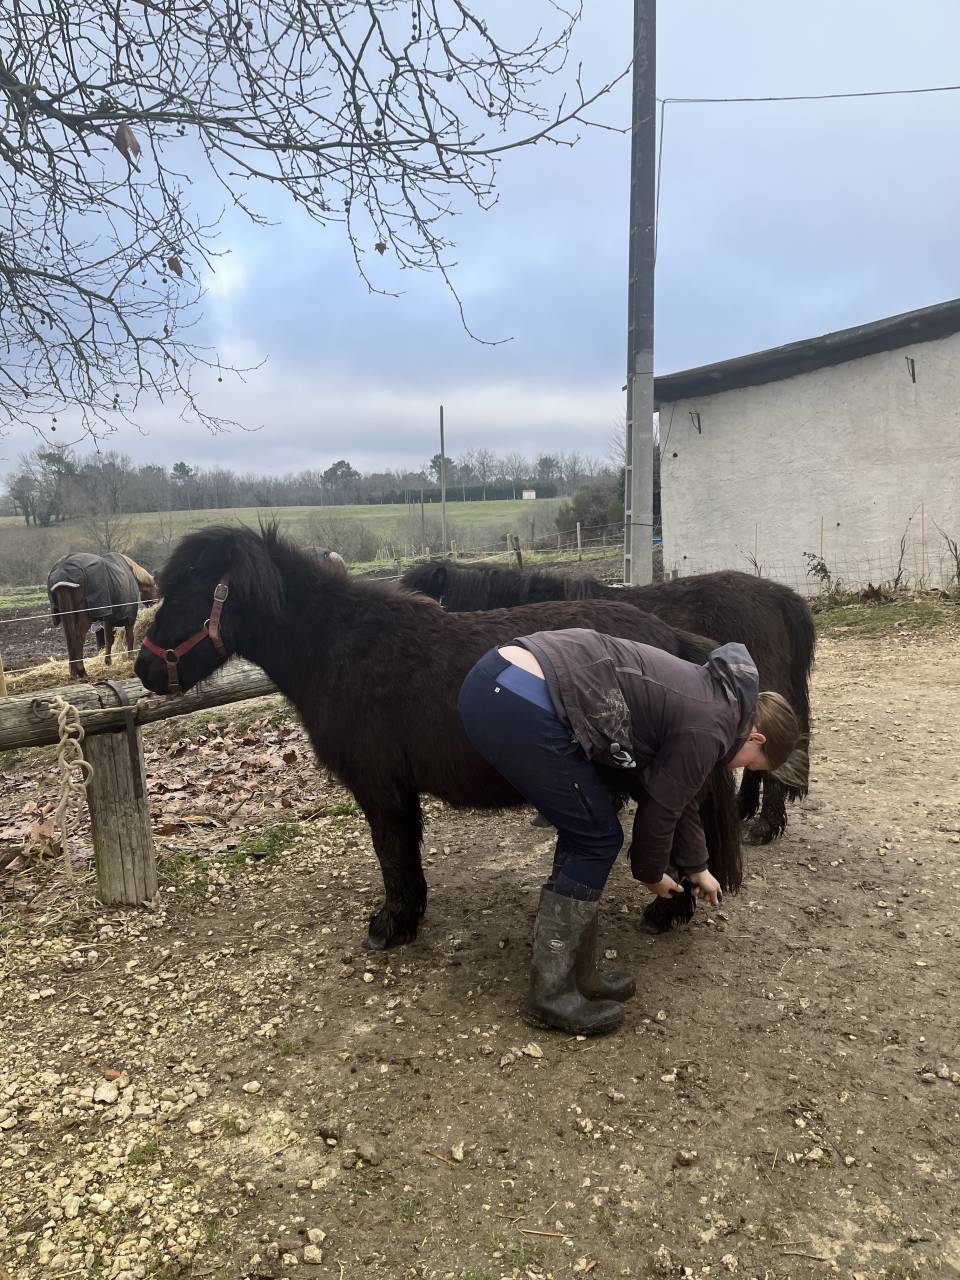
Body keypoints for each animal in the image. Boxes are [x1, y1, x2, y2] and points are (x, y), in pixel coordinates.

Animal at [48, 551, 156, 681]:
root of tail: (63, 570)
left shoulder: (108, 618)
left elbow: (108, 639)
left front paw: (108, 661)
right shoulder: (130, 617)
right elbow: (129, 637)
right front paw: (130, 658)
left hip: (65, 614)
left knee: (70, 637)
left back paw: (74, 672)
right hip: (84, 617)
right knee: (79, 636)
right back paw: (82, 671)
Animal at [135, 525, 742, 951]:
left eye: (185, 593)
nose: (143, 669)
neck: (345, 650)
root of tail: (670, 638)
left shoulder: (379, 789)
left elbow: (392, 853)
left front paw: (391, 926)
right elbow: (404, 855)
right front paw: (408, 917)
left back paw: (666, 912)